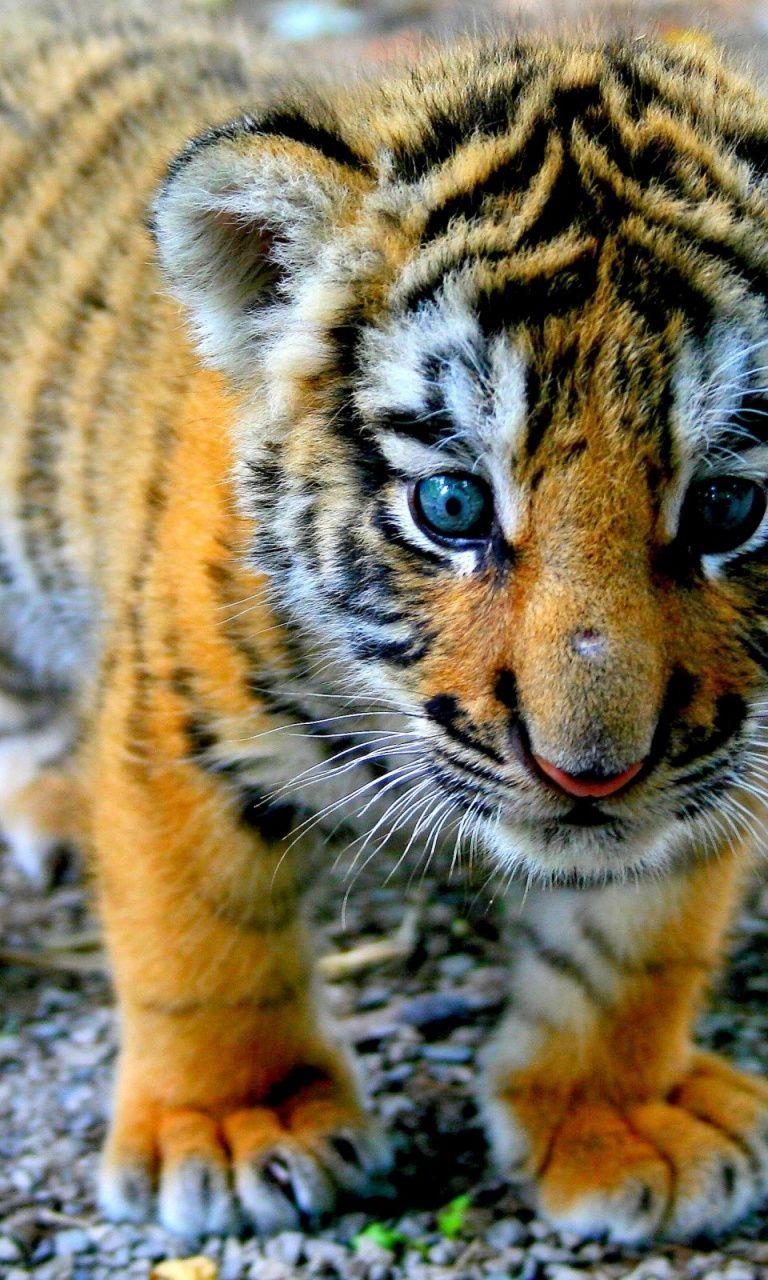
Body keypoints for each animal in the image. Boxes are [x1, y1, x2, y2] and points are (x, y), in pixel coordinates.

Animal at [3, 1, 768, 1245]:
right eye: (452, 505)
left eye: (727, 508)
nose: (590, 773)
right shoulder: (179, 717)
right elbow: (199, 934)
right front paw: (234, 1125)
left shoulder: (720, 750)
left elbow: (635, 943)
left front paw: (621, 1114)